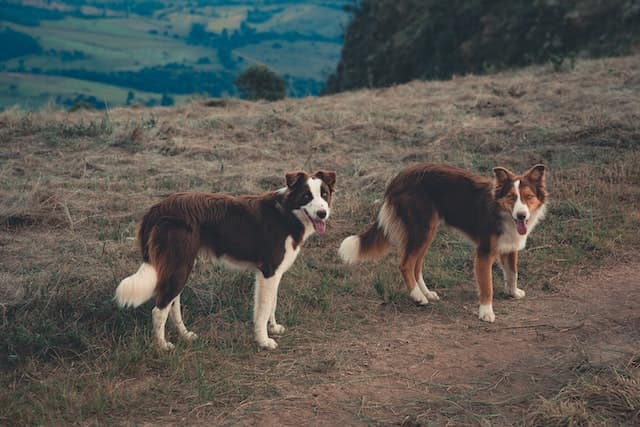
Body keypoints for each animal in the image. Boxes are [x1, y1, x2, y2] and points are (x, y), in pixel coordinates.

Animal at [116, 171, 336, 352]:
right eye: (306, 196)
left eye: (324, 194)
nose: (322, 213)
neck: (287, 213)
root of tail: (157, 208)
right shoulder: (268, 272)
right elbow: (264, 309)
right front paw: (263, 341)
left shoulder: (274, 273)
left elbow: (271, 304)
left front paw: (273, 328)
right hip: (179, 265)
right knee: (159, 309)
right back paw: (162, 346)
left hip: (179, 265)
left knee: (172, 303)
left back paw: (185, 335)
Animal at [338, 163, 548, 320]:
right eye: (512, 197)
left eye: (528, 197)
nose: (521, 216)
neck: (501, 210)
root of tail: (398, 177)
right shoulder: (484, 251)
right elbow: (487, 285)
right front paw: (486, 312)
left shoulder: (510, 246)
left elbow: (513, 273)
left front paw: (513, 293)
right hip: (421, 229)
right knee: (406, 264)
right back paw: (417, 296)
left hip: (427, 231)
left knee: (416, 265)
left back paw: (426, 293)